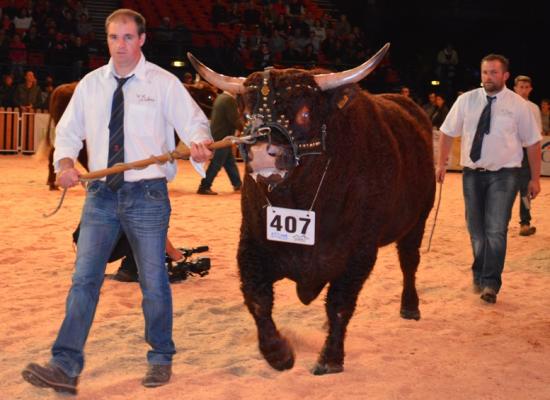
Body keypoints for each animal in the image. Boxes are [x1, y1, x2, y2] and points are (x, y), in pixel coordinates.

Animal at [192, 44, 438, 376]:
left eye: (305, 113)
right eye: (246, 114)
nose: (262, 154)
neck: (302, 197)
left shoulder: (359, 253)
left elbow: (340, 304)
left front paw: (330, 358)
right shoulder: (251, 244)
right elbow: (258, 300)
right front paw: (279, 353)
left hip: (417, 220)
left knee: (409, 261)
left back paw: (410, 306)